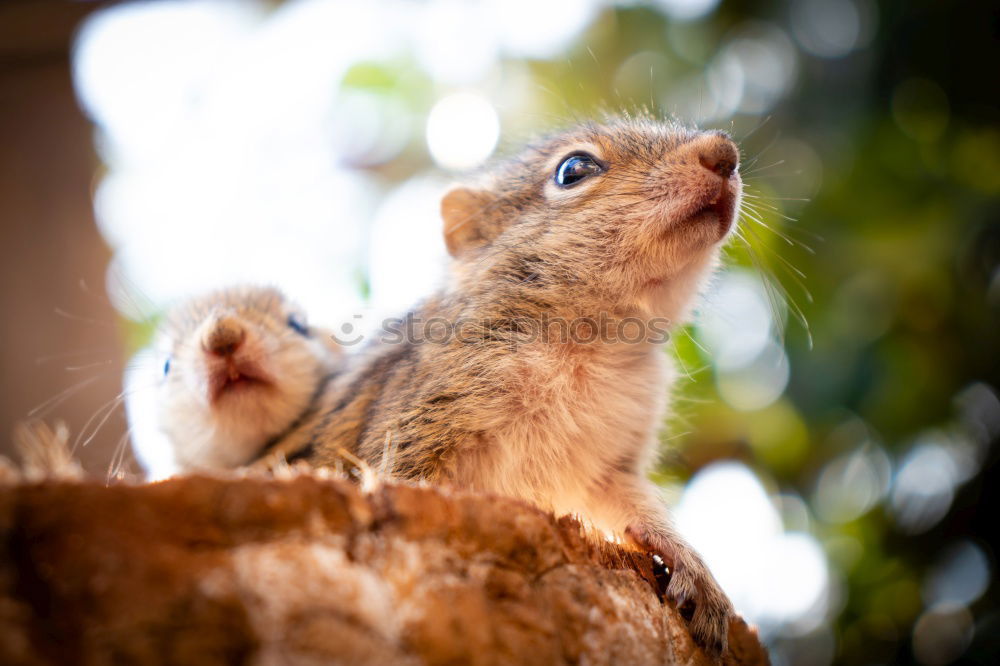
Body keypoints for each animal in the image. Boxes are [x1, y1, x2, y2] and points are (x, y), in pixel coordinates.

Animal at [254, 115, 748, 652]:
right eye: (574, 170)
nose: (723, 152)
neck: (588, 345)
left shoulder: (612, 463)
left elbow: (632, 507)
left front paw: (695, 571)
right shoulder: (420, 425)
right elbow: (401, 477)